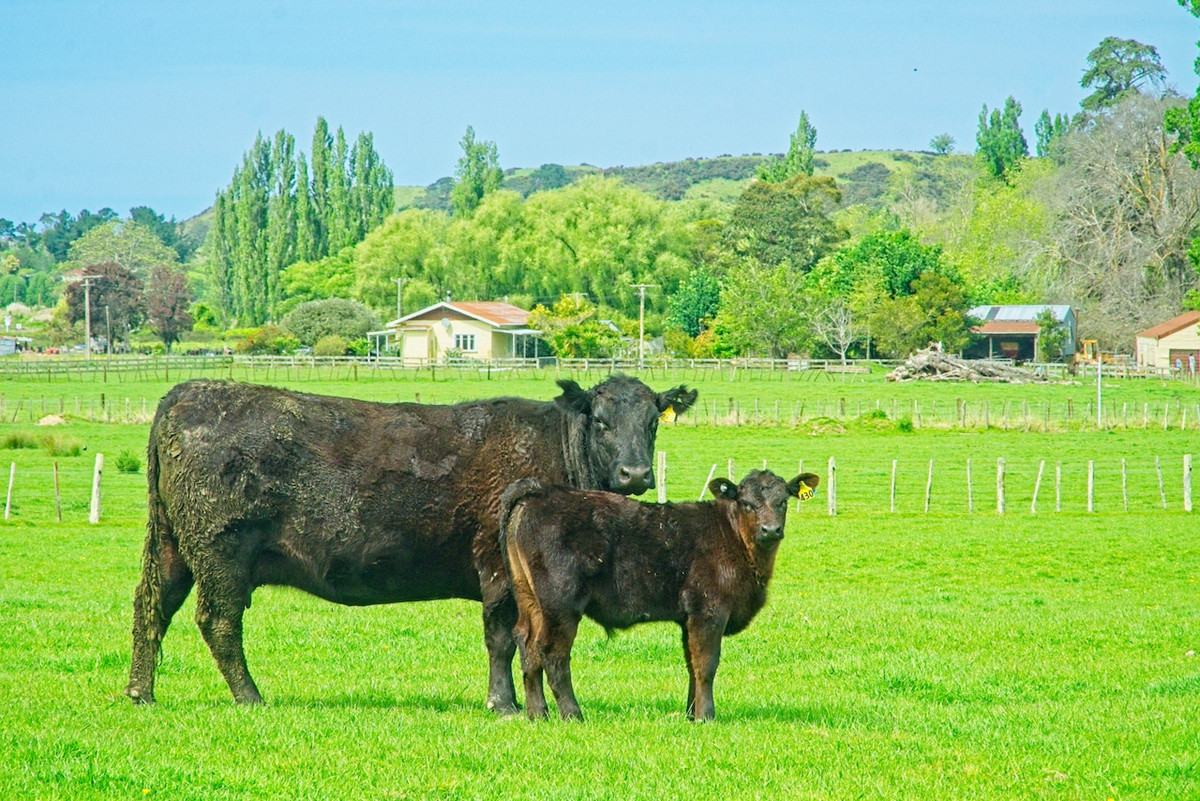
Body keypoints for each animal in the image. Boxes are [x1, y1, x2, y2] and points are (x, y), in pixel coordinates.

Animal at [124, 376, 696, 705]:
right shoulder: (497, 570)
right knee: (218, 623)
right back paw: (251, 698)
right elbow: (501, 637)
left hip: (172, 548)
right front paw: (504, 704)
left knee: (152, 608)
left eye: (653, 422)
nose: (635, 473)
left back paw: (140, 692)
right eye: (600, 420)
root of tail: (188, 392)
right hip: (221, 552)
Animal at [496, 465, 816, 724]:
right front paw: (706, 716)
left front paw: (691, 714)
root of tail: (540, 492)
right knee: (552, 652)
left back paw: (538, 714)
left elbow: (691, 663)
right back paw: (572, 714)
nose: (770, 530)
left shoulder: (688, 617)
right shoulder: (709, 610)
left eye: (783, 501)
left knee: (526, 645)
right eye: (747, 504)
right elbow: (706, 664)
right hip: (560, 604)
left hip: (529, 597)